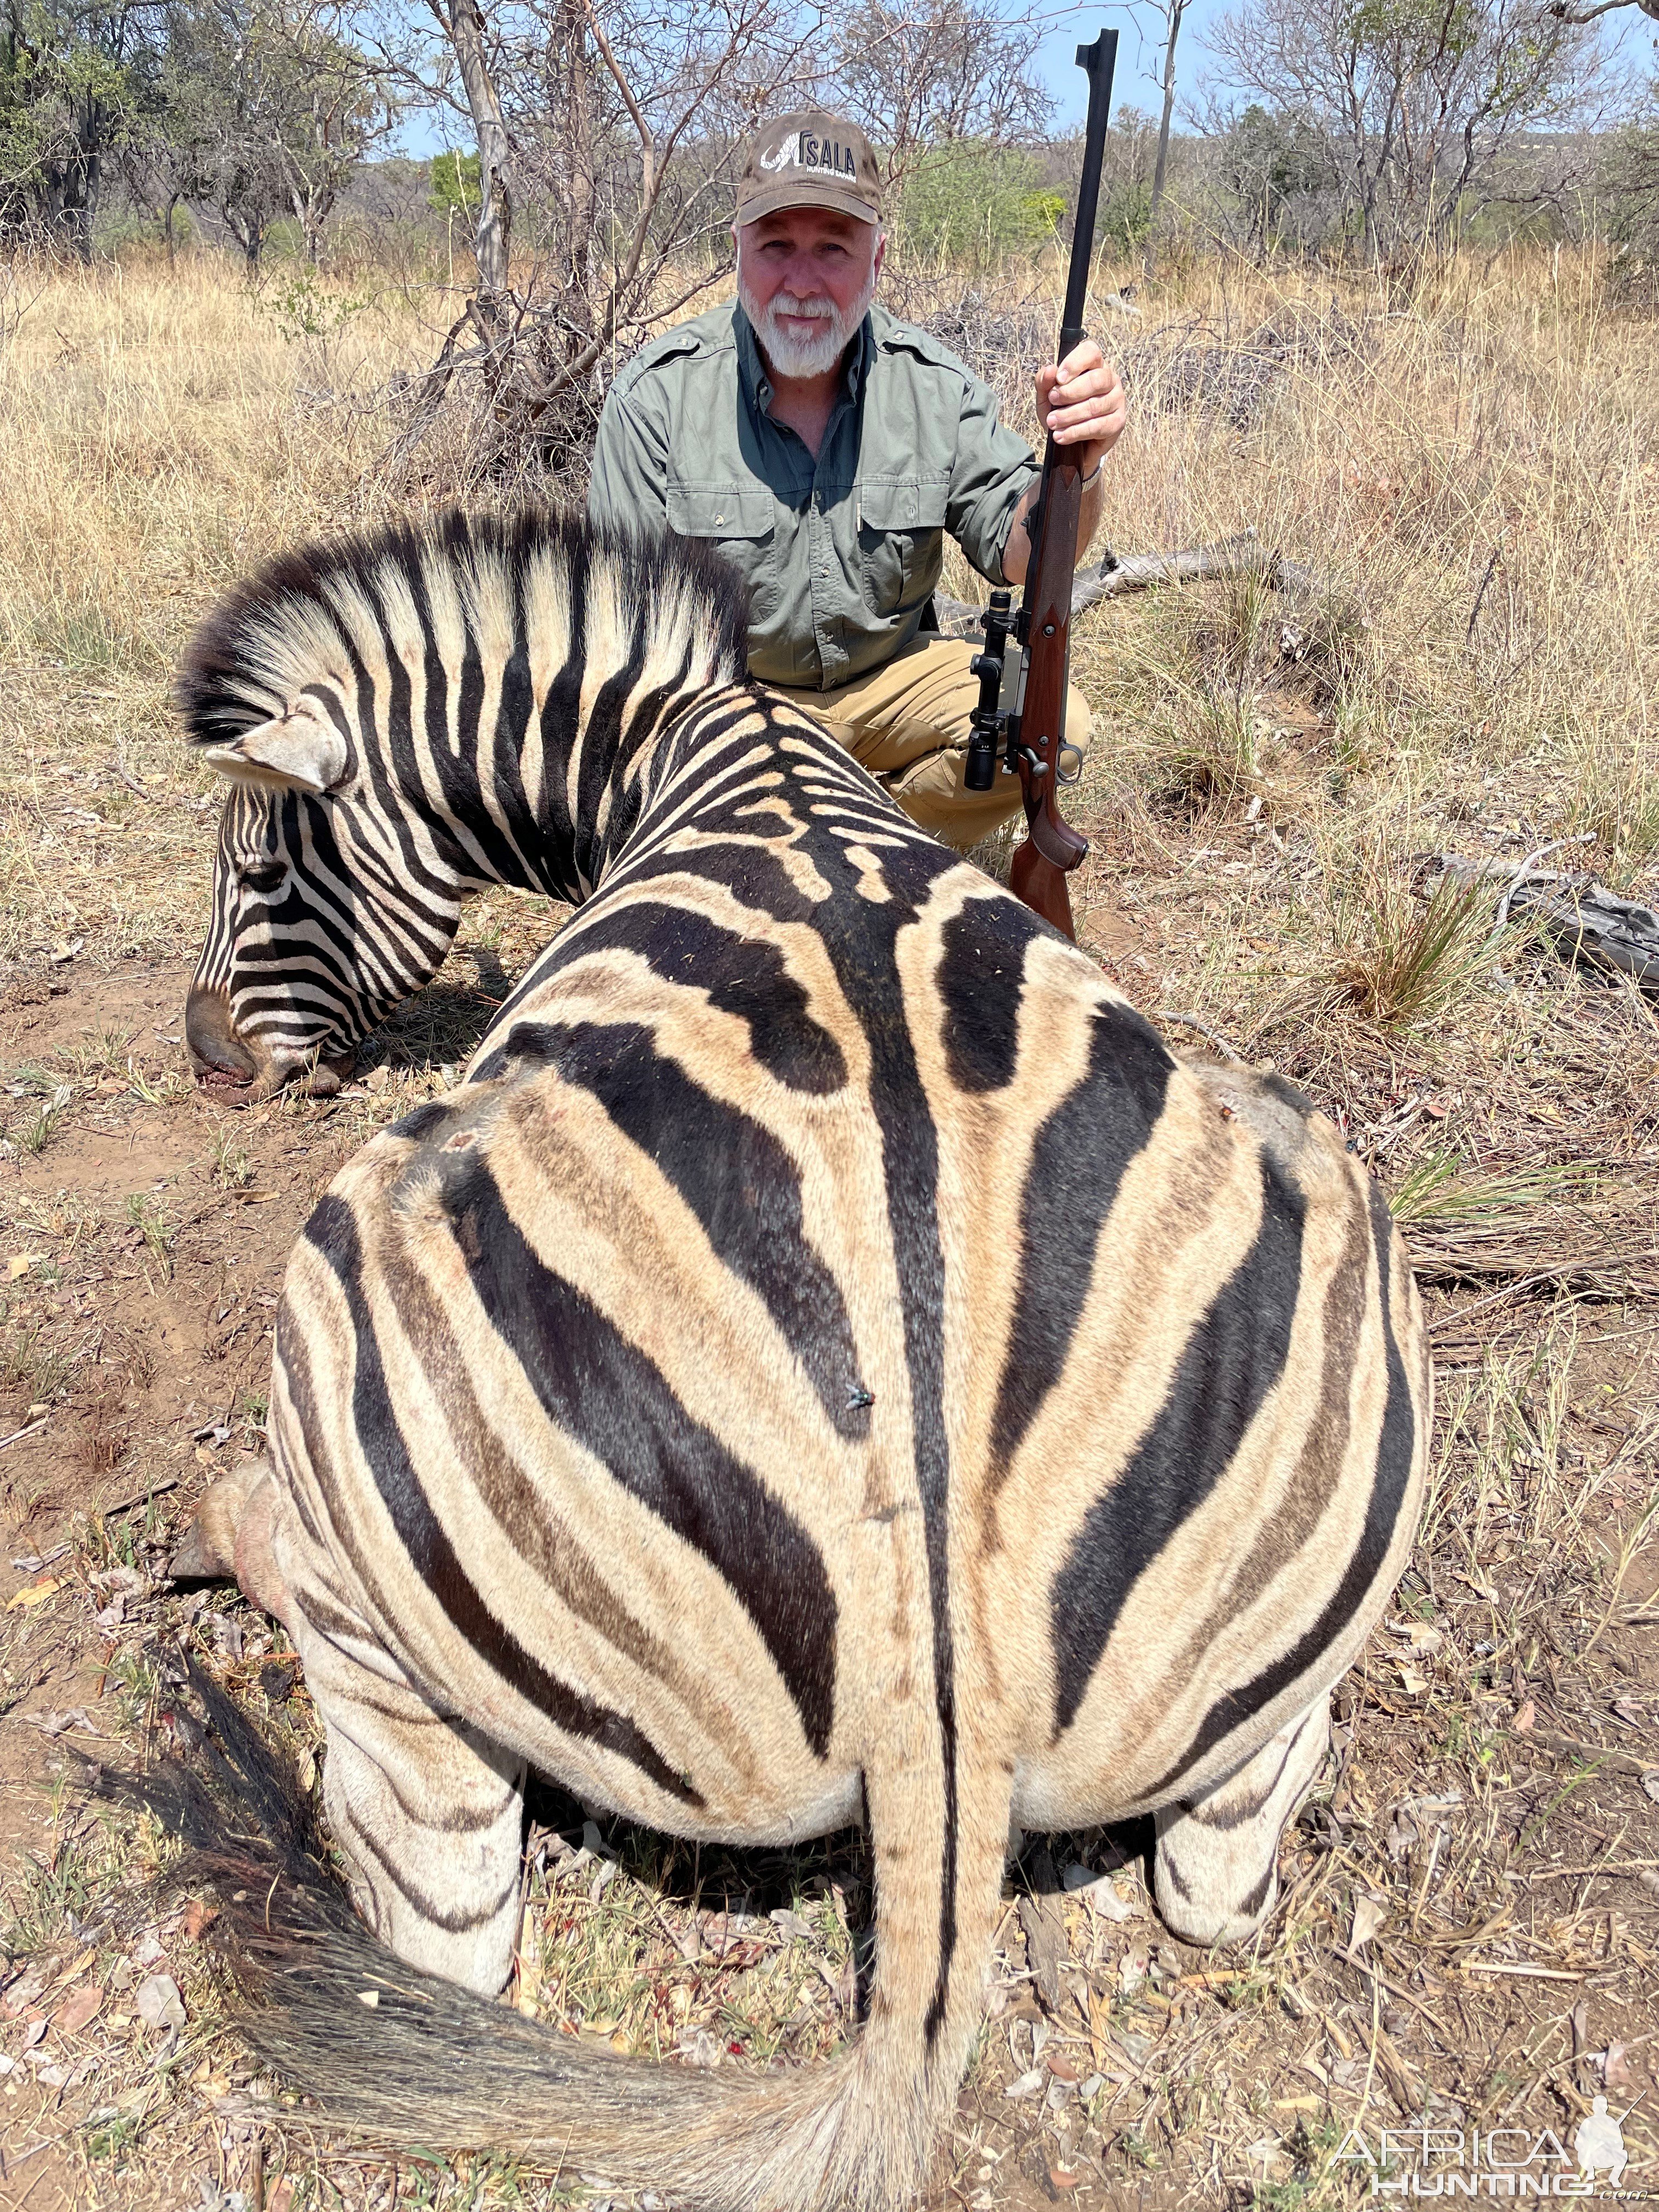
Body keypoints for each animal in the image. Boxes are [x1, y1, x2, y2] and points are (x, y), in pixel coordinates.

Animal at [176, 509, 1433, 2212]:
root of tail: (943, 1689)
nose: (204, 1058)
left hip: (360, 1502)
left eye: (257, 867)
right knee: (1225, 1885)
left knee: (435, 1932)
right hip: (1298, 1547)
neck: (685, 736)